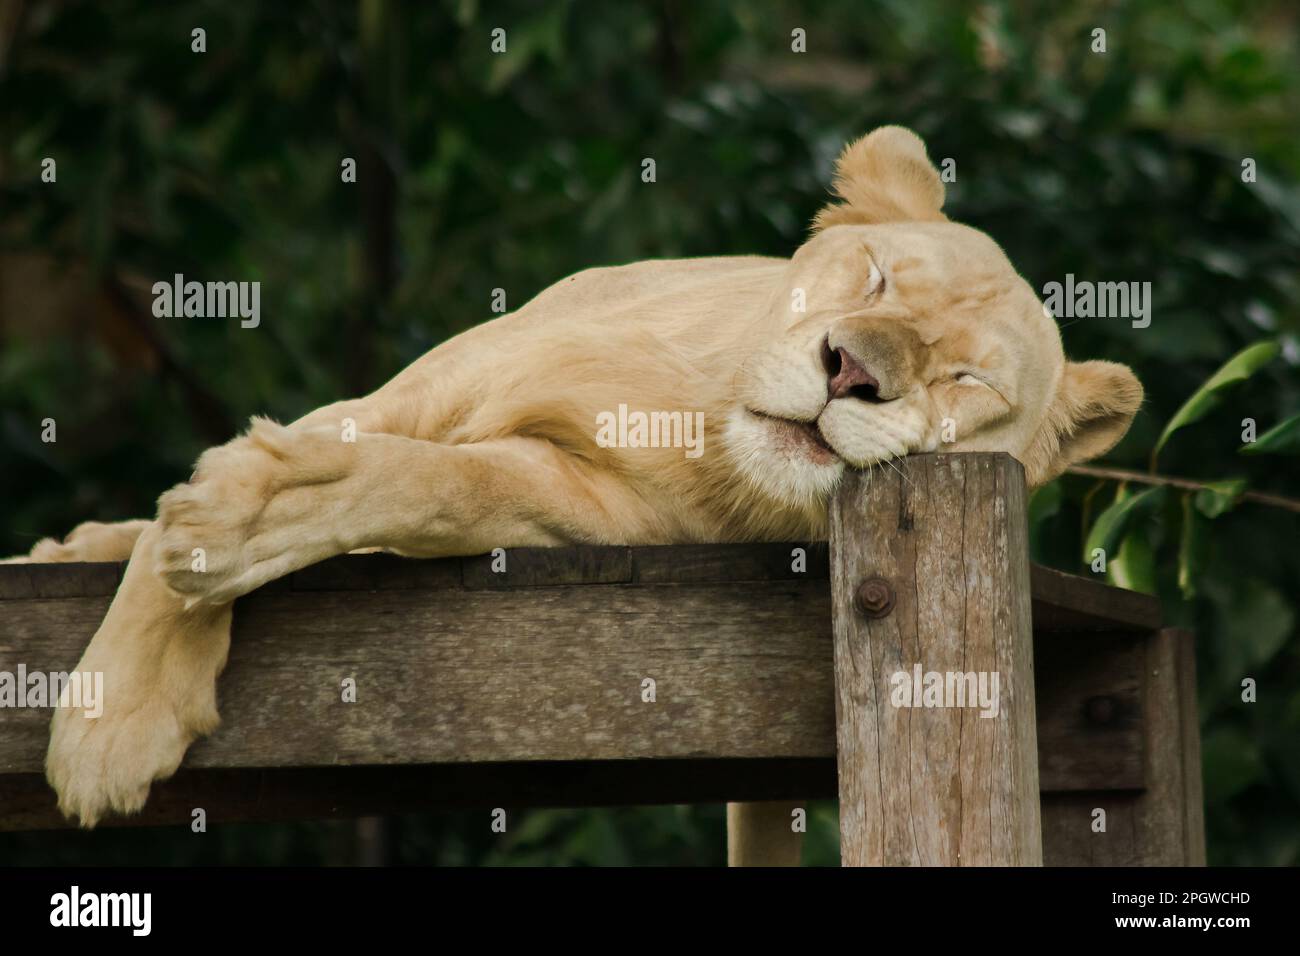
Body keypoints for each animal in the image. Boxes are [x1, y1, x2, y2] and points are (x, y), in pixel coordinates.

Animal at [8, 126, 1142, 865]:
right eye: (872, 275)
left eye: (968, 380)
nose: (850, 371)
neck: (699, 416)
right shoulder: (420, 389)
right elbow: (284, 474)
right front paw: (121, 704)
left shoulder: (578, 506)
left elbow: (429, 484)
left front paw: (237, 524)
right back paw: (66, 547)